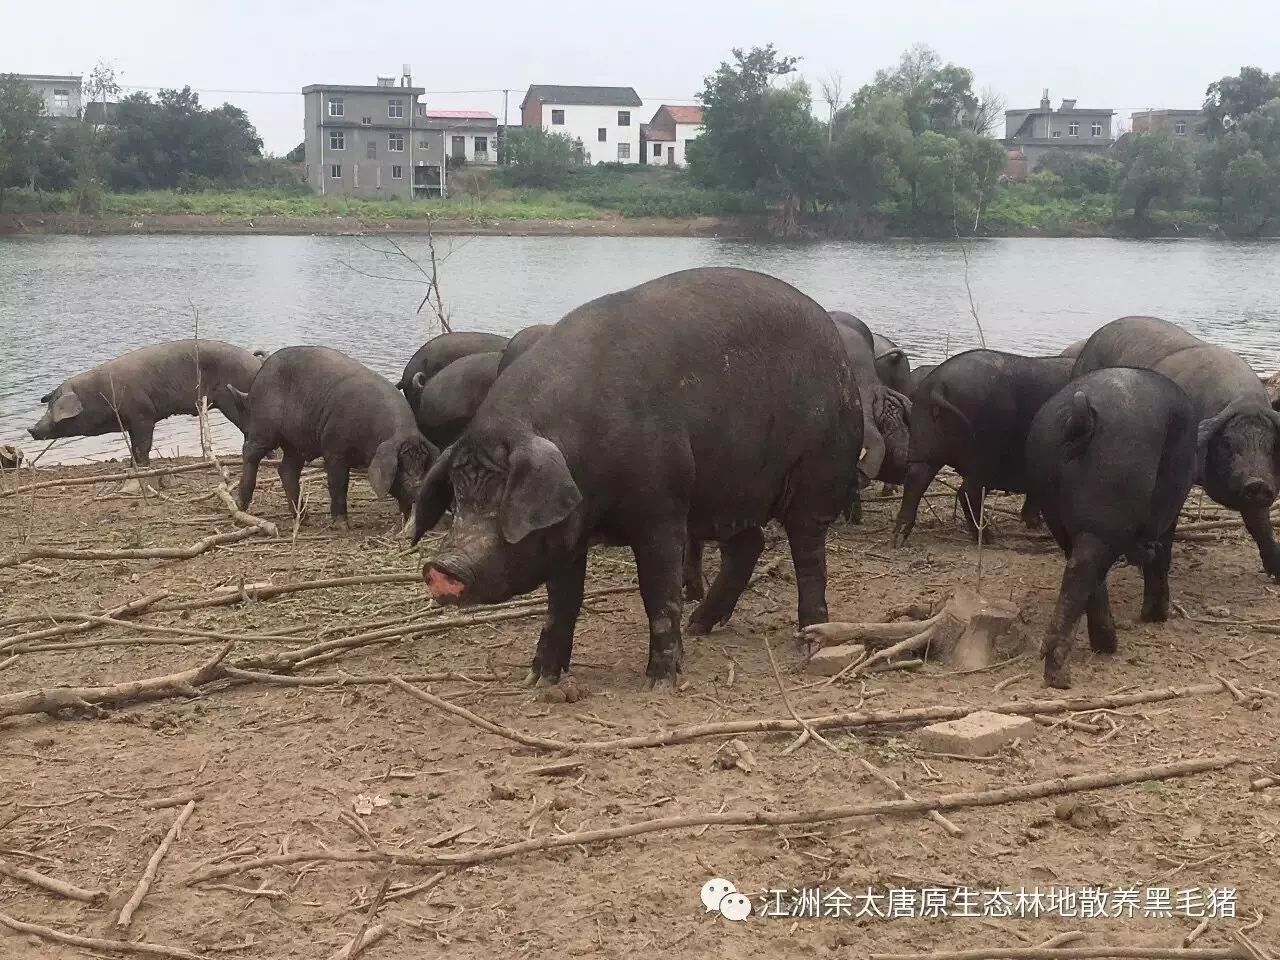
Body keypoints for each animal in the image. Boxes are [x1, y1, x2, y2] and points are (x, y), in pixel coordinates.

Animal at [412, 267, 860, 696]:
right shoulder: (568, 534)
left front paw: (659, 683)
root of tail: (840, 352)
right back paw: (701, 626)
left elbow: (659, 596)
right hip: (729, 489)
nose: (440, 566)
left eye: (504, 498)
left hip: (817, 471)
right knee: (749, 544)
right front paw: (538, 680)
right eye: (458, 494)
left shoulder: (663, 510)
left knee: (808, 552)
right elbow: (562, 602)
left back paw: (808, 638)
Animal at [1024, 368, 1192, 691]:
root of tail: (1079, 417)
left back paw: (1105, 646)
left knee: (1084, 569)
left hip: (1057, 511)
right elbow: (1162, 557)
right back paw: (1061, 674)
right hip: (1108, 505)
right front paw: (1155, 617)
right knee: (1082, 569)